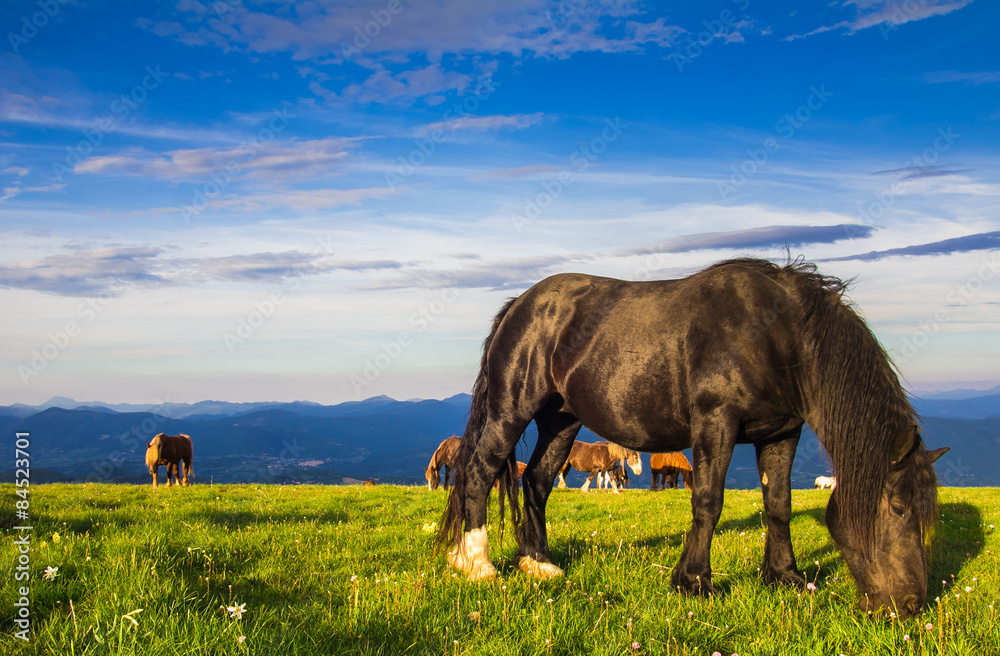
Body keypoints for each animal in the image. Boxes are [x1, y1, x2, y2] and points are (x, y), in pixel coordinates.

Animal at [436, 258, 944, 616]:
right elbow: (708, 501)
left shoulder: (782, 433)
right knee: (480, 473)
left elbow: (778, 504)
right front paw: (695, 581)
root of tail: (519, 305)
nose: (912, 605)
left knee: (537, 482)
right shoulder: (716, 423)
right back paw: (477, 564)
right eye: (898, 507)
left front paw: (785, 576)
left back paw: (538, 562)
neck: (777, 333)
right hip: (510, 411)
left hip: (561, 421)